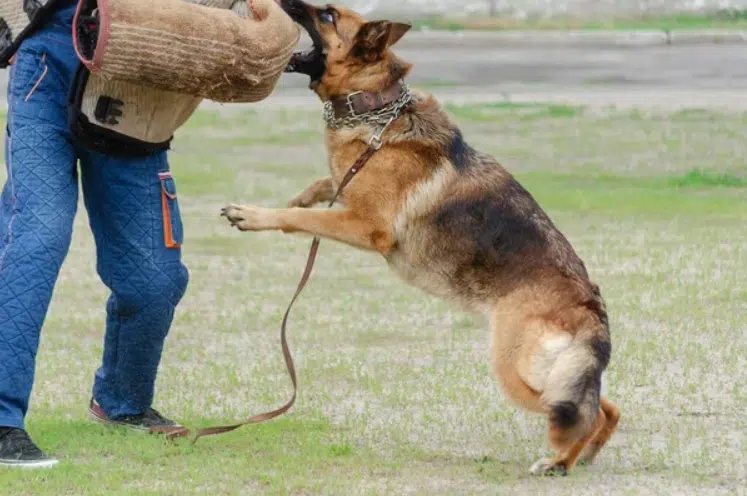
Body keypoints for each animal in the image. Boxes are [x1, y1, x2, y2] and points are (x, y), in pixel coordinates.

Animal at [222, 0, 620, 476]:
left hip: (519, 371)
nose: (283, 3)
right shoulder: (350, 192)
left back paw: (558, 462)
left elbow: (305, 217)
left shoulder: (365, 226)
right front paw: (302, 194)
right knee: (604, 407)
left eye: (328, 15)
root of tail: (591, 308)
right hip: (556, 375)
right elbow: (326, 185)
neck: (376, 108)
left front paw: (255, 214)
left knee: (587, 412)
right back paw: (583, 456)